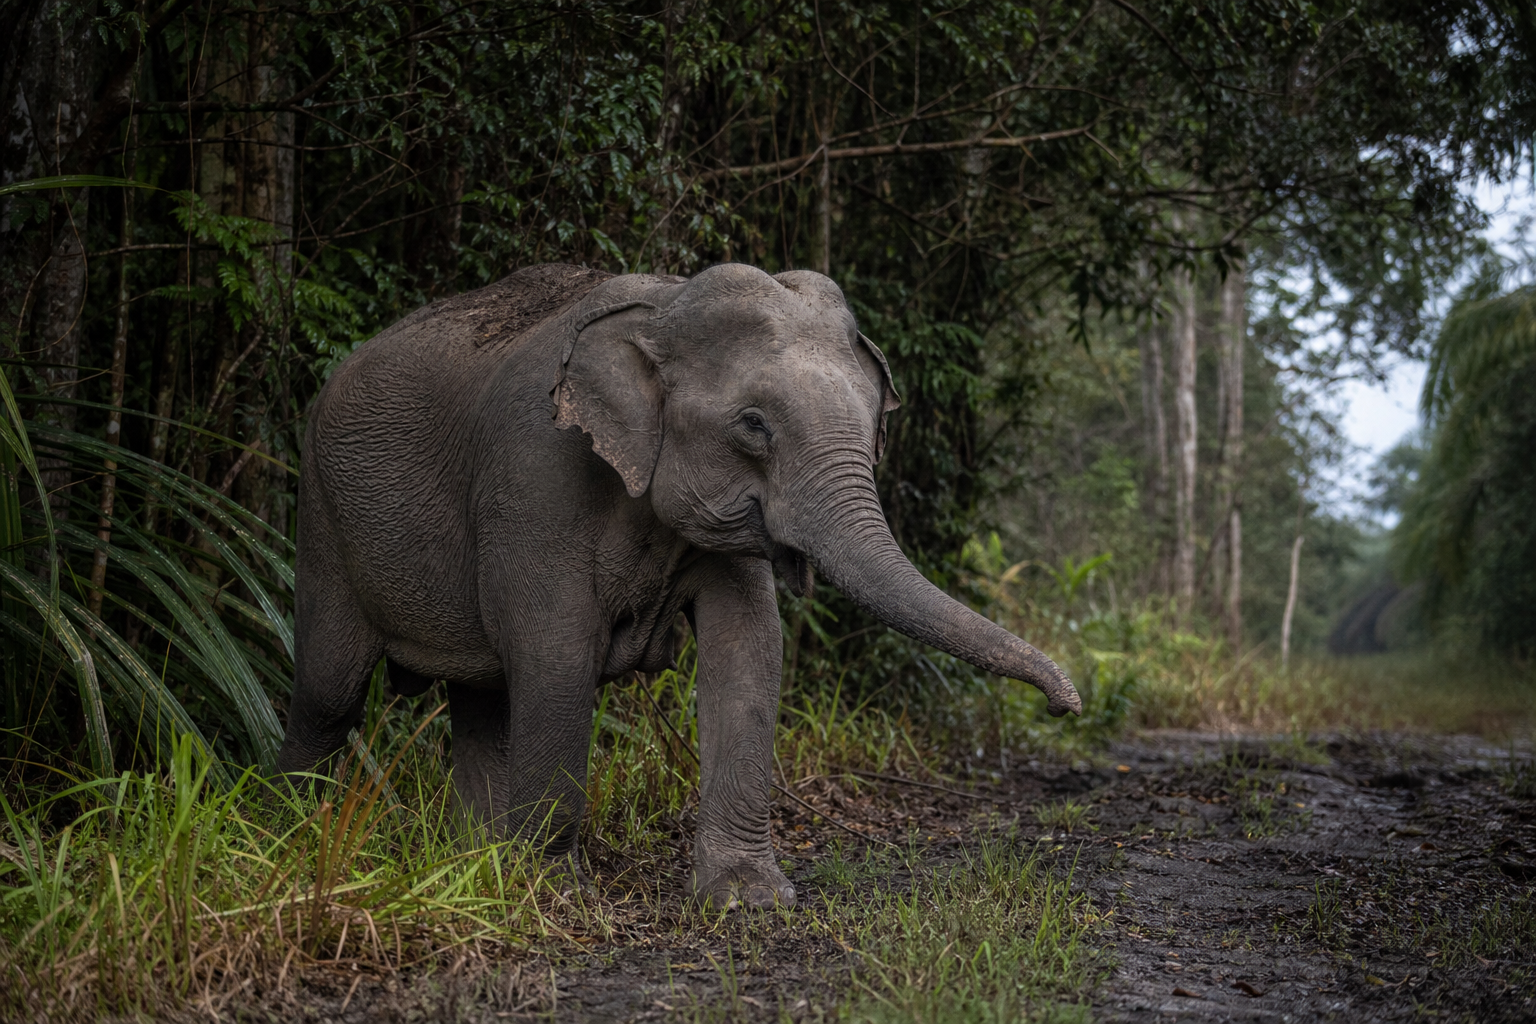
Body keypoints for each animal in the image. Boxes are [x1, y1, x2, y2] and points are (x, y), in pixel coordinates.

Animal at [275, 262, 1081, 909]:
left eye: (871, 426)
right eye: (753, 424)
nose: (1068, 704)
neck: (662, 307)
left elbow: (750, 646)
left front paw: (747, 900)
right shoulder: (532, 478)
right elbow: (556, 655)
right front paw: (555, 894)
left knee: (480, 701)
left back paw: (471, 864)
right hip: (320, 513)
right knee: (330, 691)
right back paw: (290, 839)